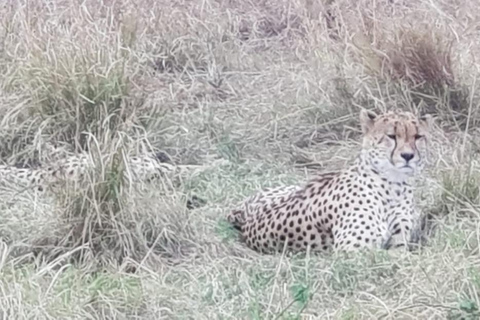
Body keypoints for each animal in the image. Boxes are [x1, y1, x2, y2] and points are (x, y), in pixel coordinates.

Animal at [227, 109, 434, 252]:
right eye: (391, 136)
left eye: (417, 136)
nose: (408, 156)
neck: (393, 186)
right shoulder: (353, 250)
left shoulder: (398, 243)